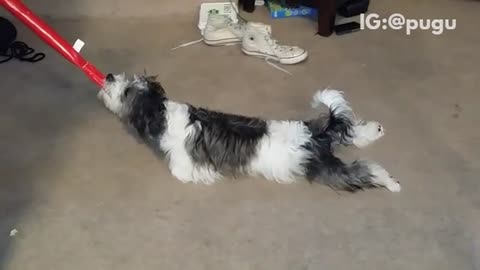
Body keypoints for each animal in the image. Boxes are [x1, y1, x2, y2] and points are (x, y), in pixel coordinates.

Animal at [98, 74, 402, 192]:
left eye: (126, 91)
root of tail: (314, 137)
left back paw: (391, 182)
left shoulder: (181, 165)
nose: (110, 76)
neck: (161, 112)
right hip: (320, 131)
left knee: (367, 170)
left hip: (325, 170)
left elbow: (186, 173)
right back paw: (374, 129)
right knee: (347, 128)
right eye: (126, 81)